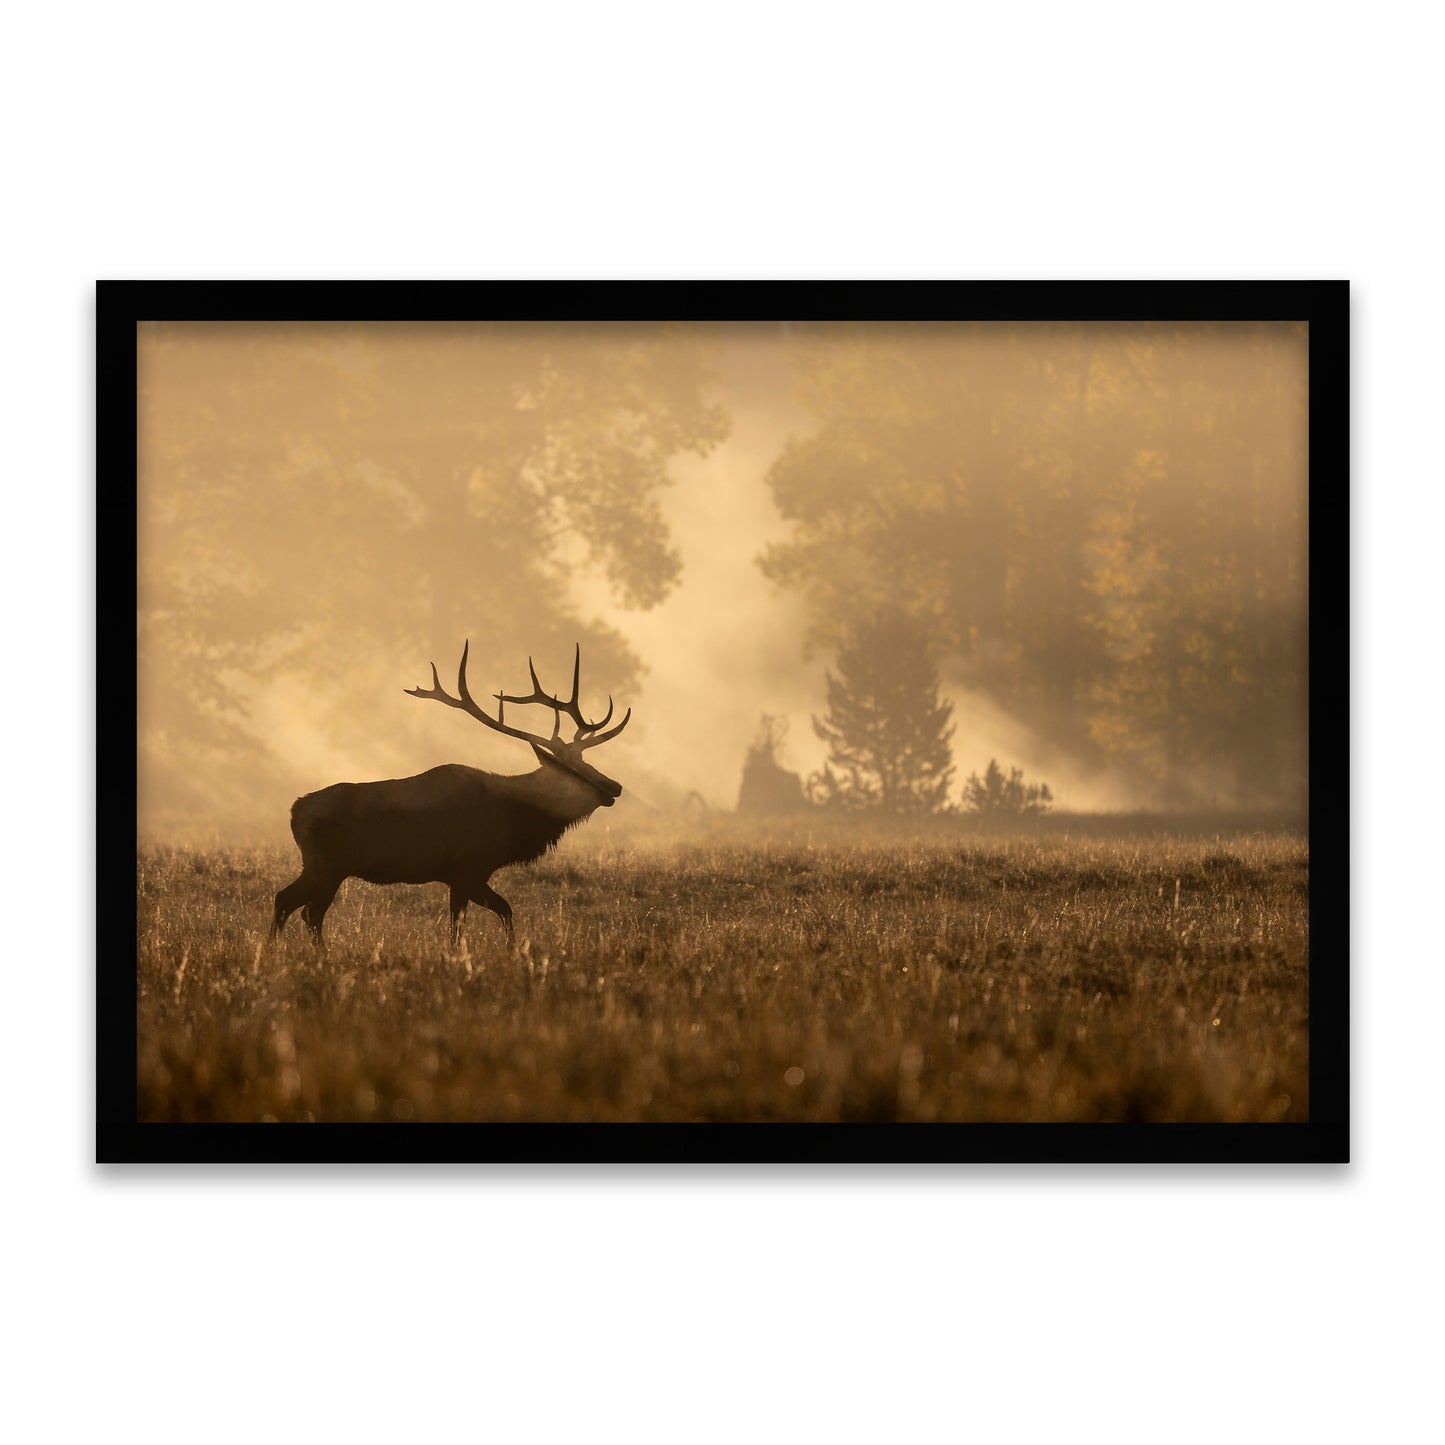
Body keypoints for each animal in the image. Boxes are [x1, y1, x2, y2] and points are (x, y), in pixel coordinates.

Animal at [270, 642, 630, 950]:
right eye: (572, 771)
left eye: (586, 762)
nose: (615, 787)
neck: (514, 821)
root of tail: (295, 811)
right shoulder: (468, 869)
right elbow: (492, 915)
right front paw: (506, 953)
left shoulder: (461, 877)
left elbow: (473, 922)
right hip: (328, 866)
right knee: (304, 909)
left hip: (319, 866)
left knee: (289, 902)